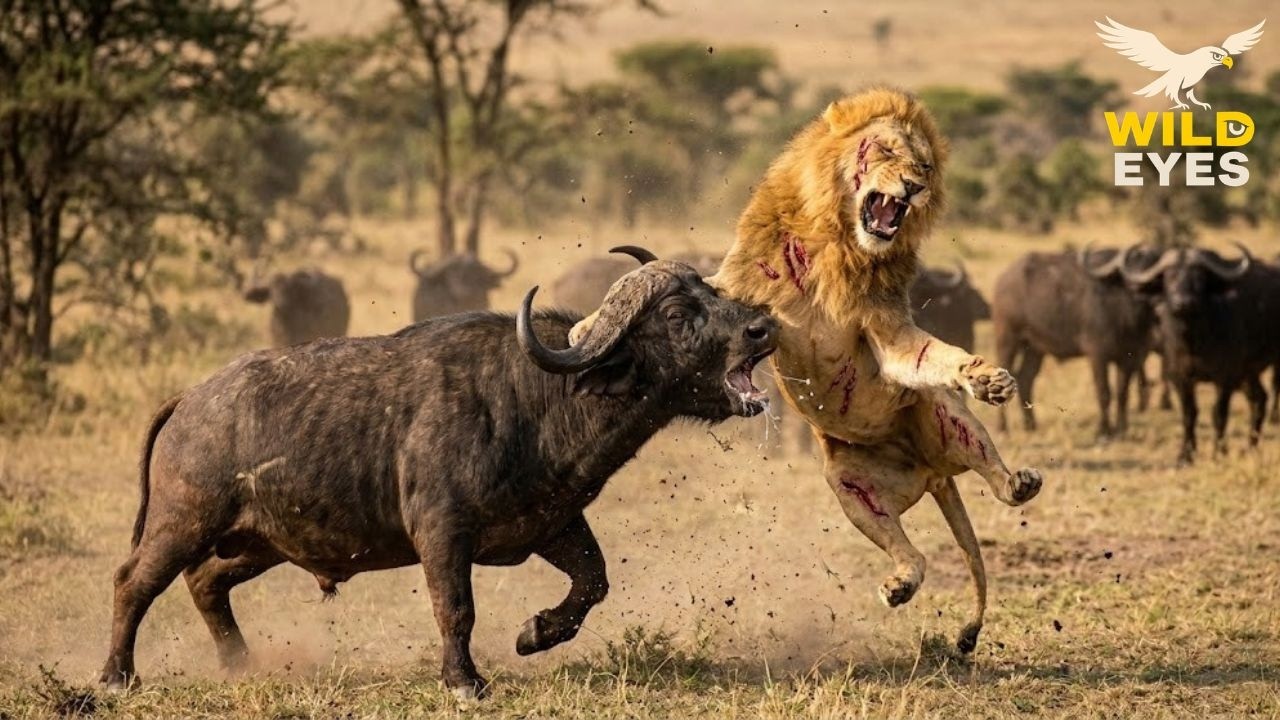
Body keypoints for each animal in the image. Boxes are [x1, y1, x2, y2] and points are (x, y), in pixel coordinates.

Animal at [100, 247, 778, 699]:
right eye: (676, 314)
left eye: (712, 291)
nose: (762, 326)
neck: (536, 396)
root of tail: (190, 400)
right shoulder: (442, 532)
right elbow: (456, 608)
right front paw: (464, 680)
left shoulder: (552, 524)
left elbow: (594, 582)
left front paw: (535, 633)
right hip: (183, 521)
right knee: (134, 581)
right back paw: (116, 676)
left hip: (261, 542)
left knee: (205, 582)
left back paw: (240, 663)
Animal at [993, 246, 1157, 437]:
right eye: (1135, 264)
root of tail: (1003, 279)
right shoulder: (1098, 355)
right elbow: (1104, 392)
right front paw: (1104, 431)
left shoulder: (1130, 357)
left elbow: (1123, 393)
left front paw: (1121, 430)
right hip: (1007, 340)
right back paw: (1002, 428)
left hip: (1034, 348)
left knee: (1025, 378)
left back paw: (1030, 425)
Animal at [1120, 243, 1278, 464]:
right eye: (1169, 276)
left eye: (1200, 277)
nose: (1183, 303)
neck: (1194, 342)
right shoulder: (1180, 377)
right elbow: (1189, 414)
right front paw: (1185, 455)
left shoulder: (1226, 377)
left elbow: (1219, 414)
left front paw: (1219, 452)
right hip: (1248, 372)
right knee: (1259, 399)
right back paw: (1251, 448)